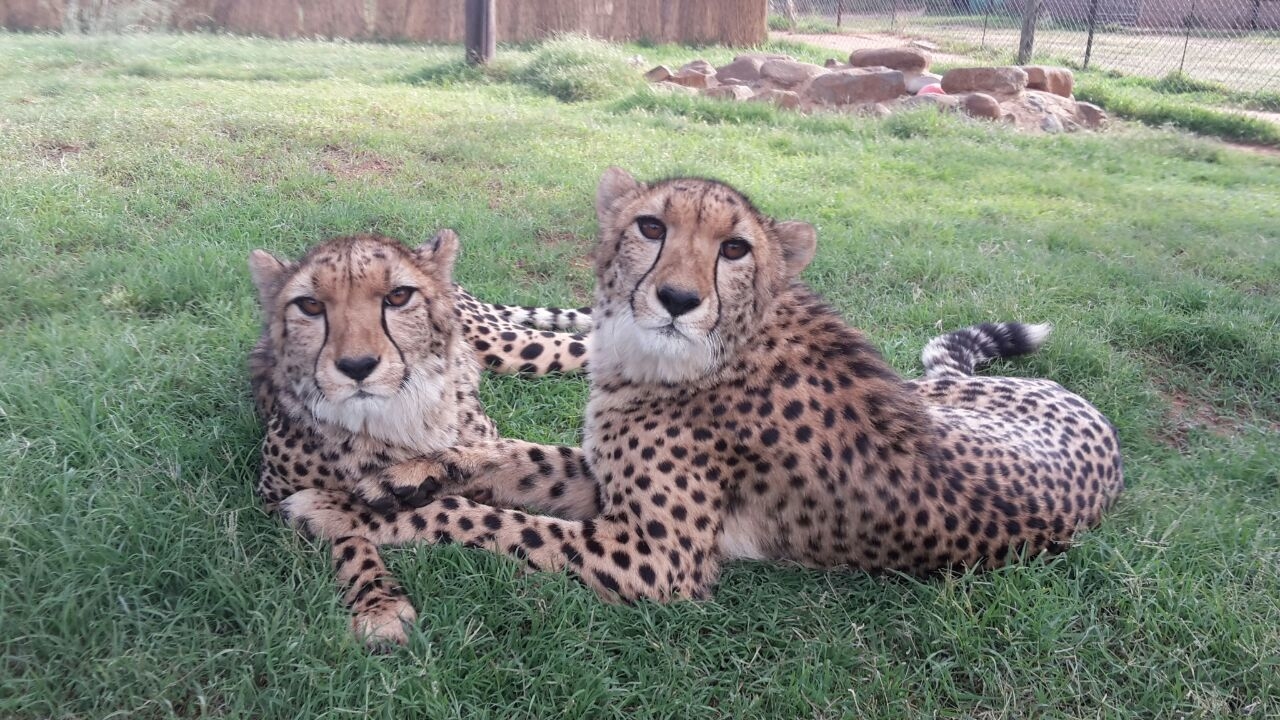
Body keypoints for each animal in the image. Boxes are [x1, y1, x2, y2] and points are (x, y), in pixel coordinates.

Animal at [248, 231, 601, 646]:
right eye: (310, 305)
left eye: (398, 296)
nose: (357, 366)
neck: (391, 417)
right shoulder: (273, 498)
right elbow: (351, 539)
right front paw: (379, 605)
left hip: (512, 348)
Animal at [280, 169, 1125, 605]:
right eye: (651, 227)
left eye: (736, 249)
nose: (678, 299)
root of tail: (1088, 411)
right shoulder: (598, 479)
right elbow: (515, 458)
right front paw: (406, 472)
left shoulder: (656, 559)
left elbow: (497, 521)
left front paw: (358, 511)